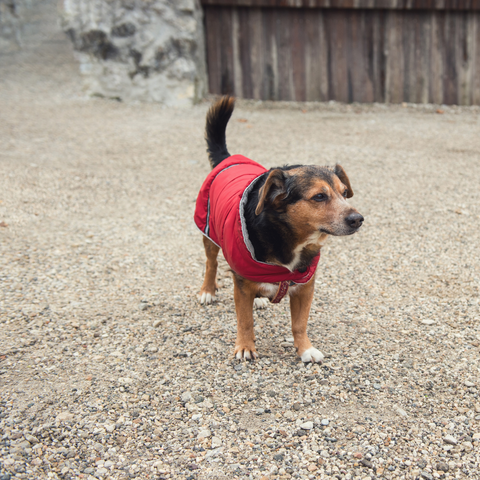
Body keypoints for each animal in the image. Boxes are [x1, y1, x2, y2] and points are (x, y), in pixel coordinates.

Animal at [193, 95, 362, 362]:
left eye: (344, 193)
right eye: (319, 196)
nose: (358, 219)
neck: (291, 239)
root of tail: (229, 158)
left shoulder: (305, 286)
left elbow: (299, 323)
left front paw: (304, 348)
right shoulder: (241, 284)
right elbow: (245, 320)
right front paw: (245, 346)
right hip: (208, 232)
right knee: (211, 263)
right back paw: (208, 290)